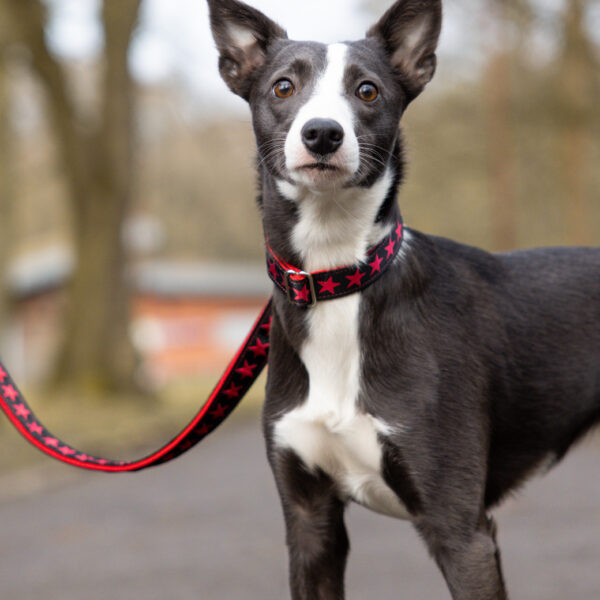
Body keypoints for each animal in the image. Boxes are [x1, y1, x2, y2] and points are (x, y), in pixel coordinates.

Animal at [207, 1, 600, 600]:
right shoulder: (310, 522)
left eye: (367, 90)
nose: (322, 134)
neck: (340, 279)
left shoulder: (461, 531)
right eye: (282, 87)